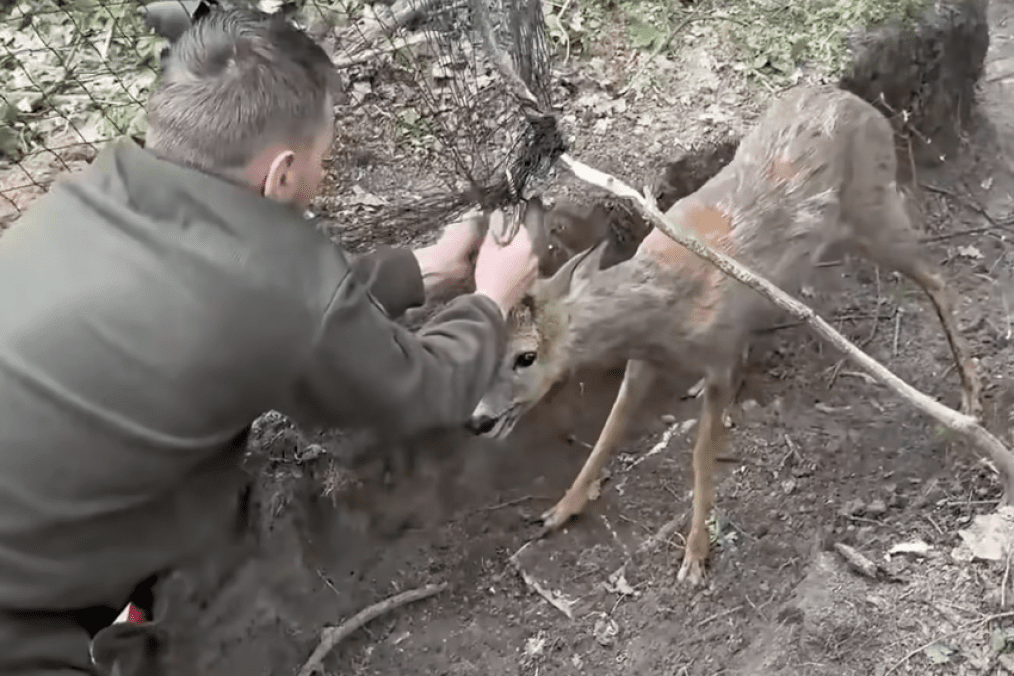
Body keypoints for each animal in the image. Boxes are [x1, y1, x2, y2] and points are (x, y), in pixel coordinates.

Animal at [467, 84, 983, 586]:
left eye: (527, 356)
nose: (479, 420)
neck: (667, 307)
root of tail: (865, 107)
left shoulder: (715, 359)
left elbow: (700, 455)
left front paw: (695, 557)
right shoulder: (645, 360)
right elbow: (609, 429)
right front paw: (558, 511)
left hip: (874, 209)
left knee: (939, 279)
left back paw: (971, 400)